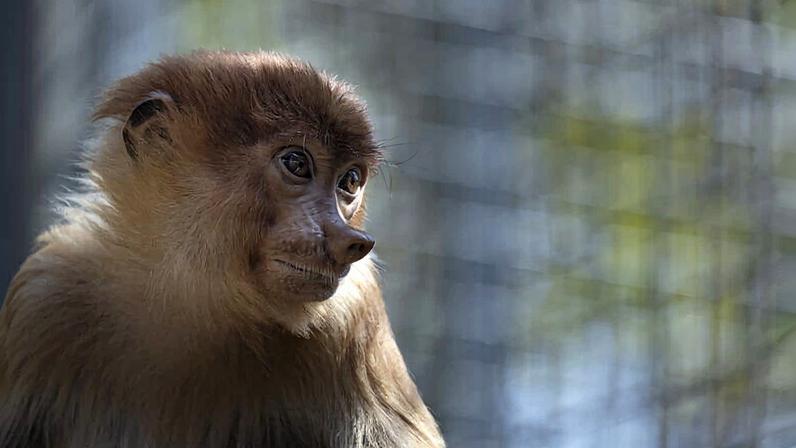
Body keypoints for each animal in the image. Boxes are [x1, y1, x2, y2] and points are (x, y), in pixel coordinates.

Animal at [0, 51, 445, 448]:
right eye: (297, 163)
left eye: (349, 181)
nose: (350, 241)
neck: (190, 301)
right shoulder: (45, 296)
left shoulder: (354, 316)